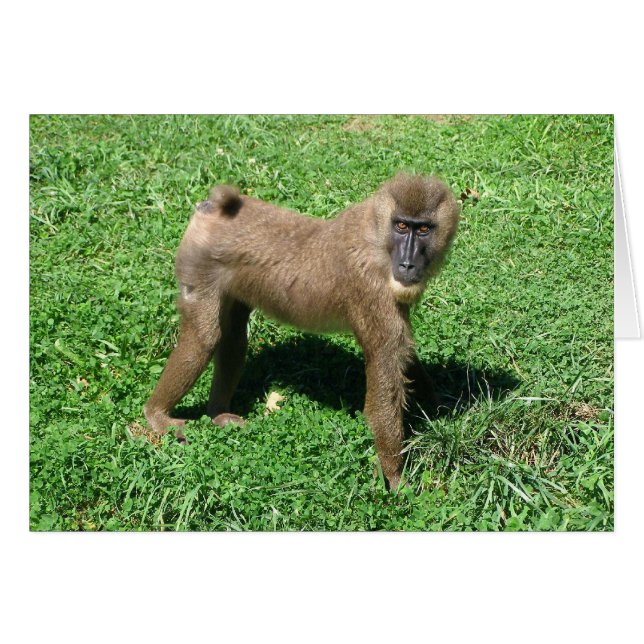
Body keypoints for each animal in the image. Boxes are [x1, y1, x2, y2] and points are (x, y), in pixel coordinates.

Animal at [143, 174, 459, 489]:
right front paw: (395, 478)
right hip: (198, 265)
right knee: (203, 339)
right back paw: (157, 415)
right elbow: (386, 362)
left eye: (424, 229)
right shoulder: (371, 287)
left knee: (233, 338)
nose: (408, 264)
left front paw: (437, 409)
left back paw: (217, 413)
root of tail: (215, 207)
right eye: (402, 226)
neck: (376, 235)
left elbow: (404, 356)